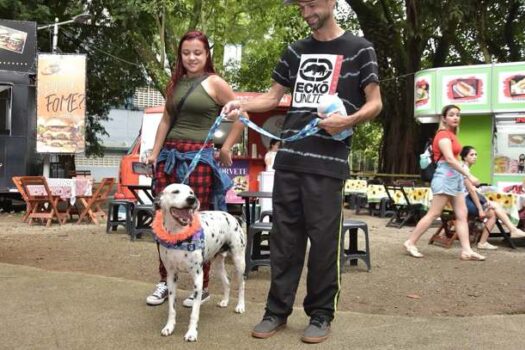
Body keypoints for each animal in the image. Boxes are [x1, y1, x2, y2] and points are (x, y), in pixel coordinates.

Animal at [156, 183, 246, 342]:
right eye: (175, 191)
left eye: (191, 192)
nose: (191, 199)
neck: (178, 235)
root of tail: (233, 217)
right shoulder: (171, 276)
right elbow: (172, 309)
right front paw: (169, 327)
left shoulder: (198, 277)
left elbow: (194, 312)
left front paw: (191, 333)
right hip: (218, 264)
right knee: (227, 281)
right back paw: (225, 301)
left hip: (239, 261)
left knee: (241, 284)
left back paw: (240, 306)